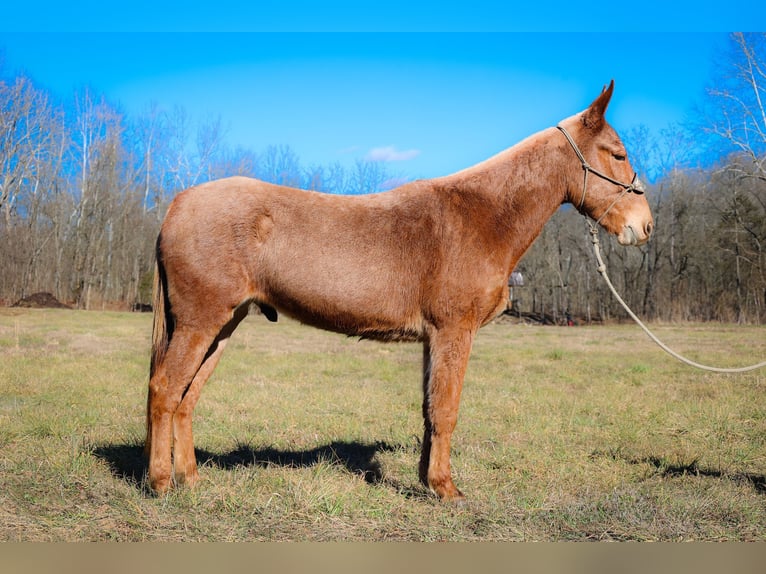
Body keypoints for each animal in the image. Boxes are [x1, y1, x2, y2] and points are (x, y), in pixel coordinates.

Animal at [147, 82, 656, 504]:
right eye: (617, 153)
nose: (644, 226)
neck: (481, 215)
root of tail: (178, 202)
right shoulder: (454, 331)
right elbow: (447, 409)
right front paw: (447, 490)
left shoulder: (434, 338)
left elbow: (430, 410)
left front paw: (427, 481)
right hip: (200, 321)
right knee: (165, 389)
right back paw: (160, 483)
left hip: (224, 324)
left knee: (187, 398)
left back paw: (191, 480)